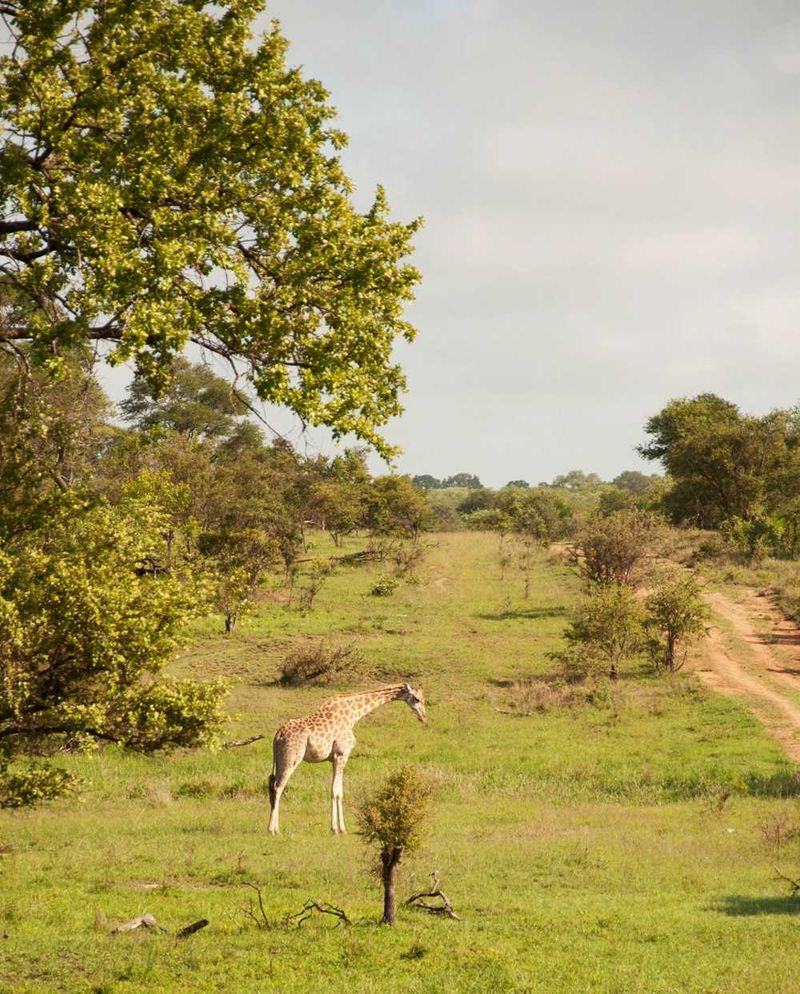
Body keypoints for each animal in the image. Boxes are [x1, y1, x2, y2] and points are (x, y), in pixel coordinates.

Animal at [267, 683, 426, 834]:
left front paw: (337, 828)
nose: (423, 717)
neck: (353, 714)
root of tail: (277, 735)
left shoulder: (335, 758)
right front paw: (338, 829)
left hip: (279, 759)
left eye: (424, 700)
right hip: (292, 758)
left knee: (272, 785)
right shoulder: (342, 754)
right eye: (416, 699)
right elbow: (336, 792)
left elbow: (337, 791)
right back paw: (273, 829)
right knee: (278, 787)